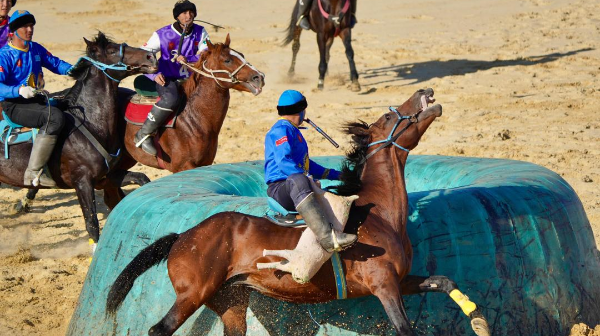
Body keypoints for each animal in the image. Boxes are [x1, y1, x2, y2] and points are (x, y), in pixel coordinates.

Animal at [0, 32, 157, 251]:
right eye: (111, 50)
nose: (151, 56)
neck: (90, 122)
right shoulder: (82, 182)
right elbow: (91, 223)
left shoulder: (106, 176)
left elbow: (141, 179)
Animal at [108, 88, 490, 336]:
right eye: (386, 115)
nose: (427, 92)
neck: (380, 214)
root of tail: (182, 236)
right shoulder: (383, 285)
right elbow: (404, 327)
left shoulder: (400, 280)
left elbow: (445, 281)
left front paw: (478, 319)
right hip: (192, 294)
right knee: (159, 330)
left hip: (231, 302)